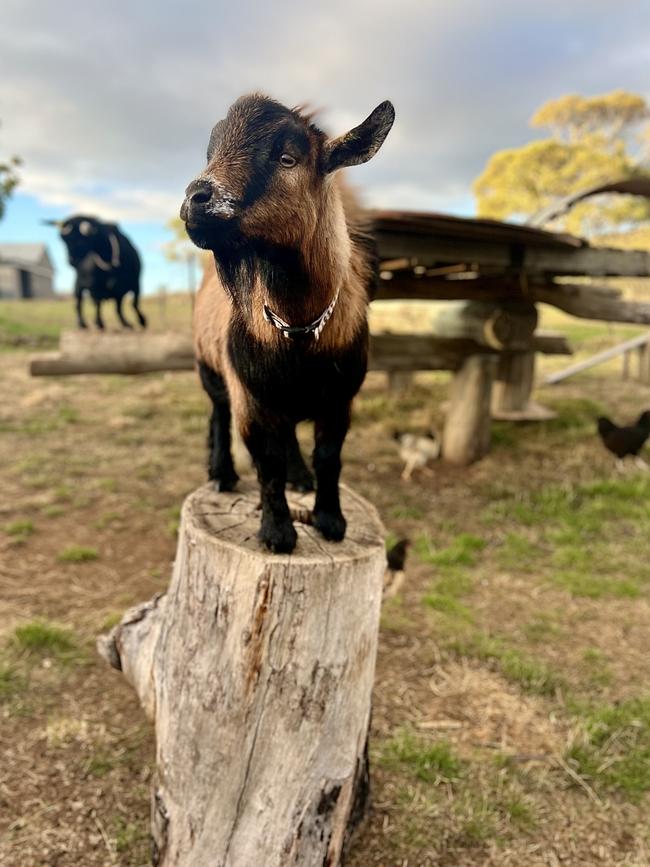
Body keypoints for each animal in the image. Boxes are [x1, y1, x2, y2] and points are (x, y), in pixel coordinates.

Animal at [180, 91, 392, 552]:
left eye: (287, 158)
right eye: (211, 153)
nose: (195, 199)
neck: (300, 333)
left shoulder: (340, 400)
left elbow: (329, 457)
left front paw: (331, 520)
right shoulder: (250, 398)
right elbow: (267, 462)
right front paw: (277, 533)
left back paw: (299, 477)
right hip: (208, 365)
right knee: (217, 412)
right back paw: (222, 474)